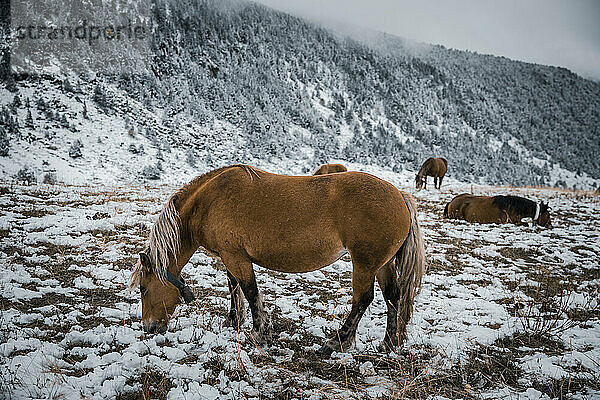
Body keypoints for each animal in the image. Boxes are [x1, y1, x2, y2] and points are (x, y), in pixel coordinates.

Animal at [129, 164, 424, 354]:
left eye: (143, 289)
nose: (149, 327)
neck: (209, 202)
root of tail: (400, 196)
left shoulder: (236, 257)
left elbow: (249, 291)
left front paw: (260, 333)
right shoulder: (229, 256)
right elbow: (235, 289)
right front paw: (234, 322)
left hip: (364, 264)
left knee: (363, 300)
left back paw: (334, 344)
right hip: (382, 265)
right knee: (393, 297)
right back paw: (389, 344)